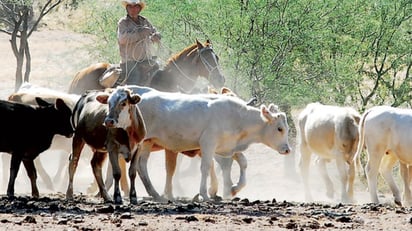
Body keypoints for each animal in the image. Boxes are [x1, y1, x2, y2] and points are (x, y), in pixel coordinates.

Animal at [101, 85, 292, 201]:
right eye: (280, 128)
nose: (287, 149)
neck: (237, 117)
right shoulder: (208, 144)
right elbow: (206, 167)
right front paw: (205, 194)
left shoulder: (226, 148)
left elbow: (242, 162)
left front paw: (234, 188)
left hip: (147, 142)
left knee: (141, 166)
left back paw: (156, 194)